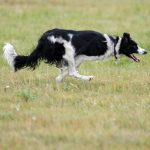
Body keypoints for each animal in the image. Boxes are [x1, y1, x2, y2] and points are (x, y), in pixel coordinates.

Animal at [2, 28, 147, 82]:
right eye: (134, 46)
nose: (145, 51)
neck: (113, 43)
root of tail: (43, 39)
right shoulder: (76, 57)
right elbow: (70, 71)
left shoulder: (77, 59)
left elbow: (64, 71)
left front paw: (58, 79)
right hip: (68, 51)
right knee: (73, 72)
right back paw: (88, 78)